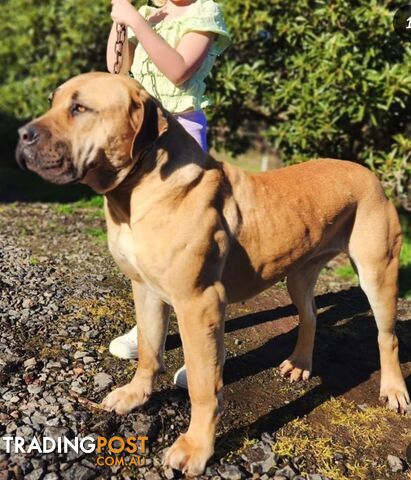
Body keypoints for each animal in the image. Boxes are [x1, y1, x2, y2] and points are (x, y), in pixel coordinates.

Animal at [16, 71, 411, 476]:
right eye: (52, 102)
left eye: (80, 108)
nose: (22, 135)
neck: (138, 188)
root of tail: (371, 175)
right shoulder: (146, 289)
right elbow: (149, 351)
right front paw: (135, 395)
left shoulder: (198, 303)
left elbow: (203, 386)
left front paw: (196, 447)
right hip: (299, 273)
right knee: (311, 315)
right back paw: (301, 364)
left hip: (377, 272)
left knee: (387, 337)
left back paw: (394, 390)